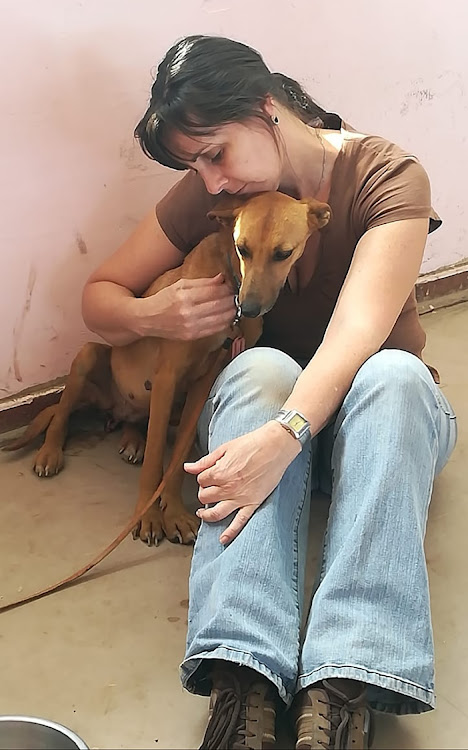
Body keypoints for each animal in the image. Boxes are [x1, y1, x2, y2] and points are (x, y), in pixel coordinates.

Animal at [1, 192, 330, 548]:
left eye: (283, 254)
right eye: (242, 248)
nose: (251, 307)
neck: (229, 283)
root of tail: (113, 409)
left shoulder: (202, 383)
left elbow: (175, 459)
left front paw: (171, 509)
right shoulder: (167, 377)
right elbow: (155, 459)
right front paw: (147, 516)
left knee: (136, 422)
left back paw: (133, 439)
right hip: (89, 357)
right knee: (61, 414)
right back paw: (50, 451)